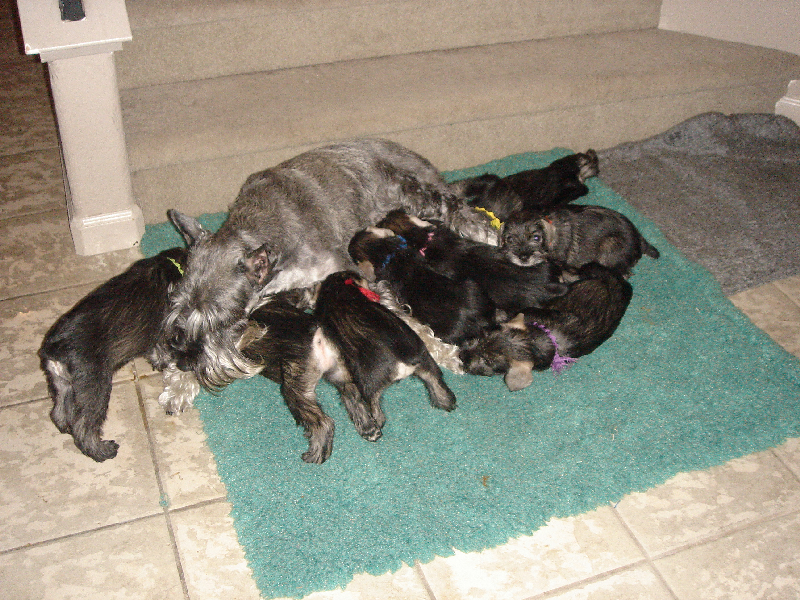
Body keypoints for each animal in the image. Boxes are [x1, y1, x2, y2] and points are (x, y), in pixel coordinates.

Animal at [38, 248, 194, 461]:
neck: (171, 263)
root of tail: (55, 348)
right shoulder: (165, 328)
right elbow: (161, 347)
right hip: (96, 388)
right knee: (84, 426)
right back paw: (101, 450)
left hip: (61, 383)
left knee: (59, 410)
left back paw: (63, 425)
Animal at [459, 262, 633, 391]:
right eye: (484, 335)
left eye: (487, 362)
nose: (461, 355)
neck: (541, 337)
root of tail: (618, 279)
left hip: (592, 271)